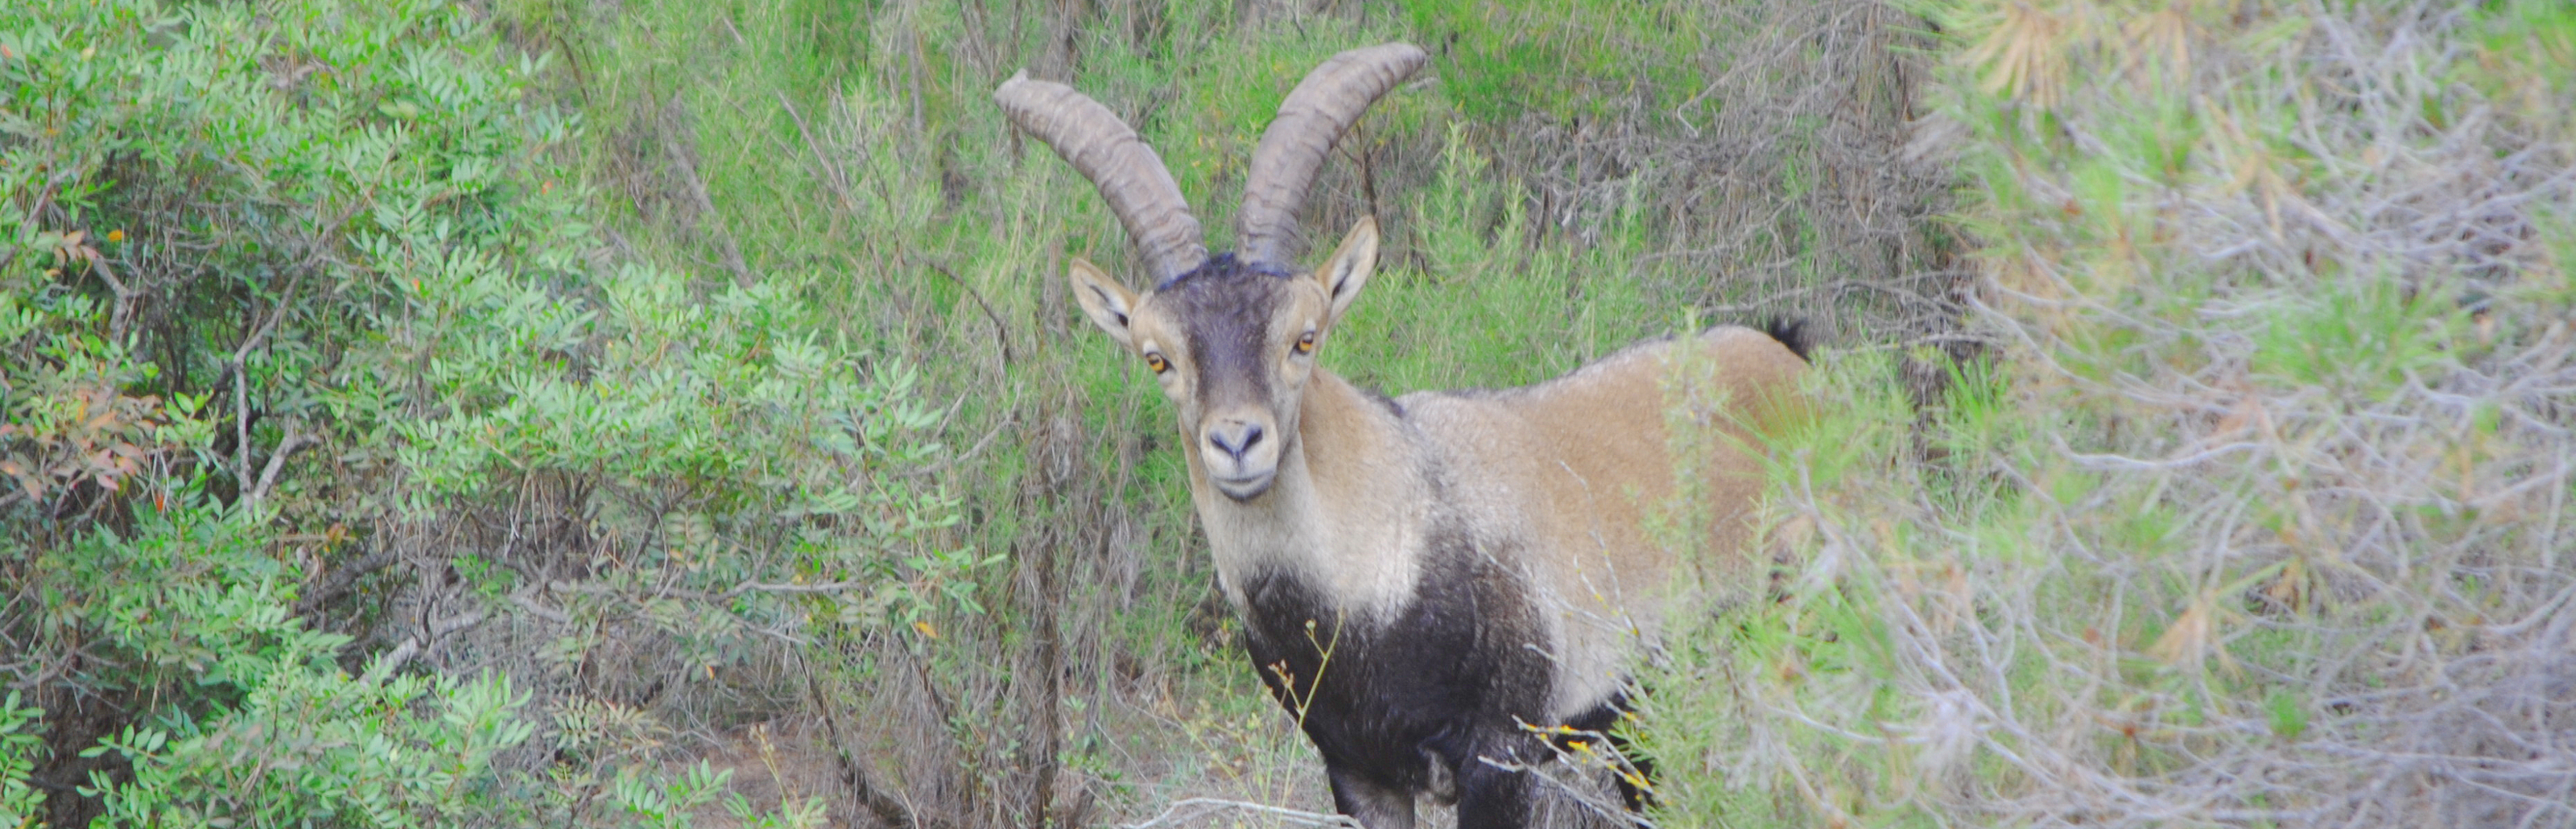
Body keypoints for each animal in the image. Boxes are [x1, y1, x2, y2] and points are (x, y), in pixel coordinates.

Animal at [989, 43, 1813, 829]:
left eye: (1305, 337)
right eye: (1157, 356)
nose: (1238, 444)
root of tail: (1789, 360)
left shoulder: (1501, 756)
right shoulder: (1359, 771)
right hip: (1647, 718)